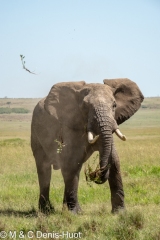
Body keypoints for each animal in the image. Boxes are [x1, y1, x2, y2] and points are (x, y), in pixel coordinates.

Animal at [30, 78, 143, 214]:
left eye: (114, 105)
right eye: (85, 106)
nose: (92, 173)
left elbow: (114, 160)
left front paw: (119, 212)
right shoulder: (71, 124)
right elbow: (71, 161)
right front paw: (75, 213)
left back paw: (63, 209)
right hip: (35, 133)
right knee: (45, 169)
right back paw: (47, 211)